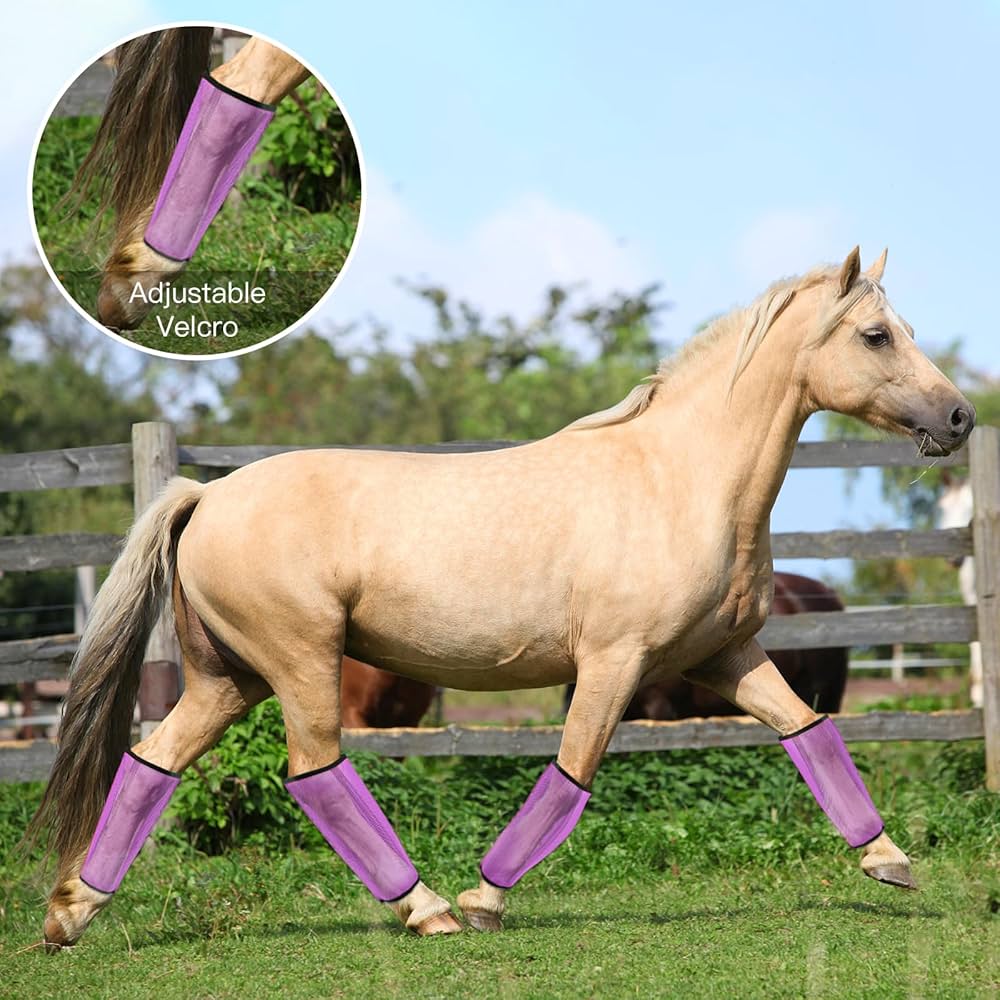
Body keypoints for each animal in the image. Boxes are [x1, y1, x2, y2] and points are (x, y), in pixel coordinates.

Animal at [29, 249, 975, 948]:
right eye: (877, 334)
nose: (961, 418)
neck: (677, 479)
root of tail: (207, 496)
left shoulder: (724, 656)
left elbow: (807, 729)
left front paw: (889, 861)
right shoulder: (615, 664)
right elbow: (573, 771)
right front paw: (487, 899)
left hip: (229, 679)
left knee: (152, 762)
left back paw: (70, 912)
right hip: (299, 666)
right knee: (315, 773)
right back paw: (429, 910)